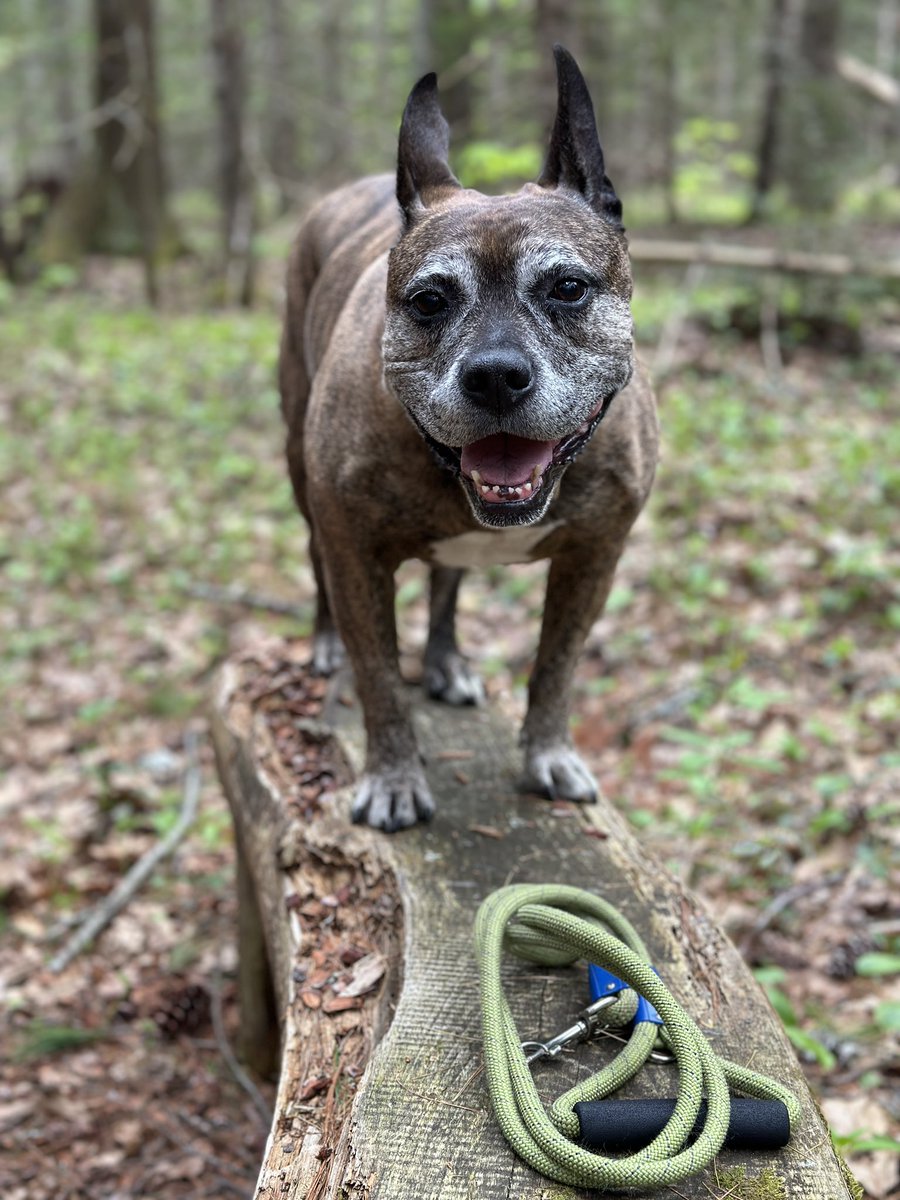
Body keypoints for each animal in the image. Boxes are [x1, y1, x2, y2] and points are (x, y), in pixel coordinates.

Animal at [278, 49, 657, 835]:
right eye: (429, 301)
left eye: (568, 287)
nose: (496, 376)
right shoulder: (353, 549)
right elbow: (379, 678)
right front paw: (393, 777)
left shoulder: (594, 556)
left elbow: (557, 664)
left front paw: (548, 754)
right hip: (300, 469)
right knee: (317, 561)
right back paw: (326, 641)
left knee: (448, 577)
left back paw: (445, 661)